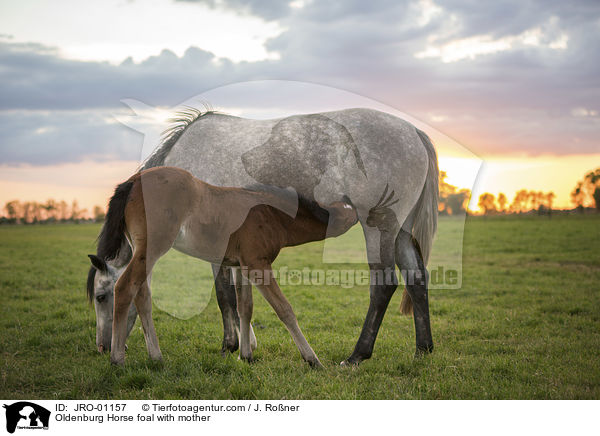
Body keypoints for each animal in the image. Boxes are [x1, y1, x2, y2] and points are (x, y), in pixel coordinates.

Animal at [88, 106, 436, 364]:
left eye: (101, 296)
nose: (102, 347)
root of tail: (414, 133)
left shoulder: (219, 248)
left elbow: (225, 297)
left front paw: (231, 345)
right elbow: (240, 299)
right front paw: (247, 344)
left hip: (378, 227)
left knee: (384, 284)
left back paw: (357, 355)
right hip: (400, 231)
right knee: (416, 278)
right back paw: (423, 349)